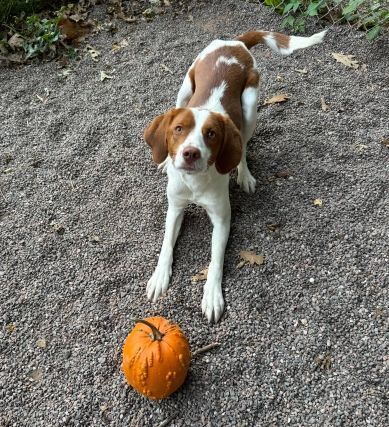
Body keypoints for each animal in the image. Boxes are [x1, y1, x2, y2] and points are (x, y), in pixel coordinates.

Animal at [142, 28, 324, 322]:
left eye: (211, 134)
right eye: (178, 129)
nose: (190, 153)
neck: (195, 182)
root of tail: (235, 42)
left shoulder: (222, 219)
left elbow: (216, 259)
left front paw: (212, 295)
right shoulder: (175, 208)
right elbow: (167, 244)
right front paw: (159, 277)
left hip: (250, 107)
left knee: (243, 147)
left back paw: (244, 175)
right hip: (184, 88)